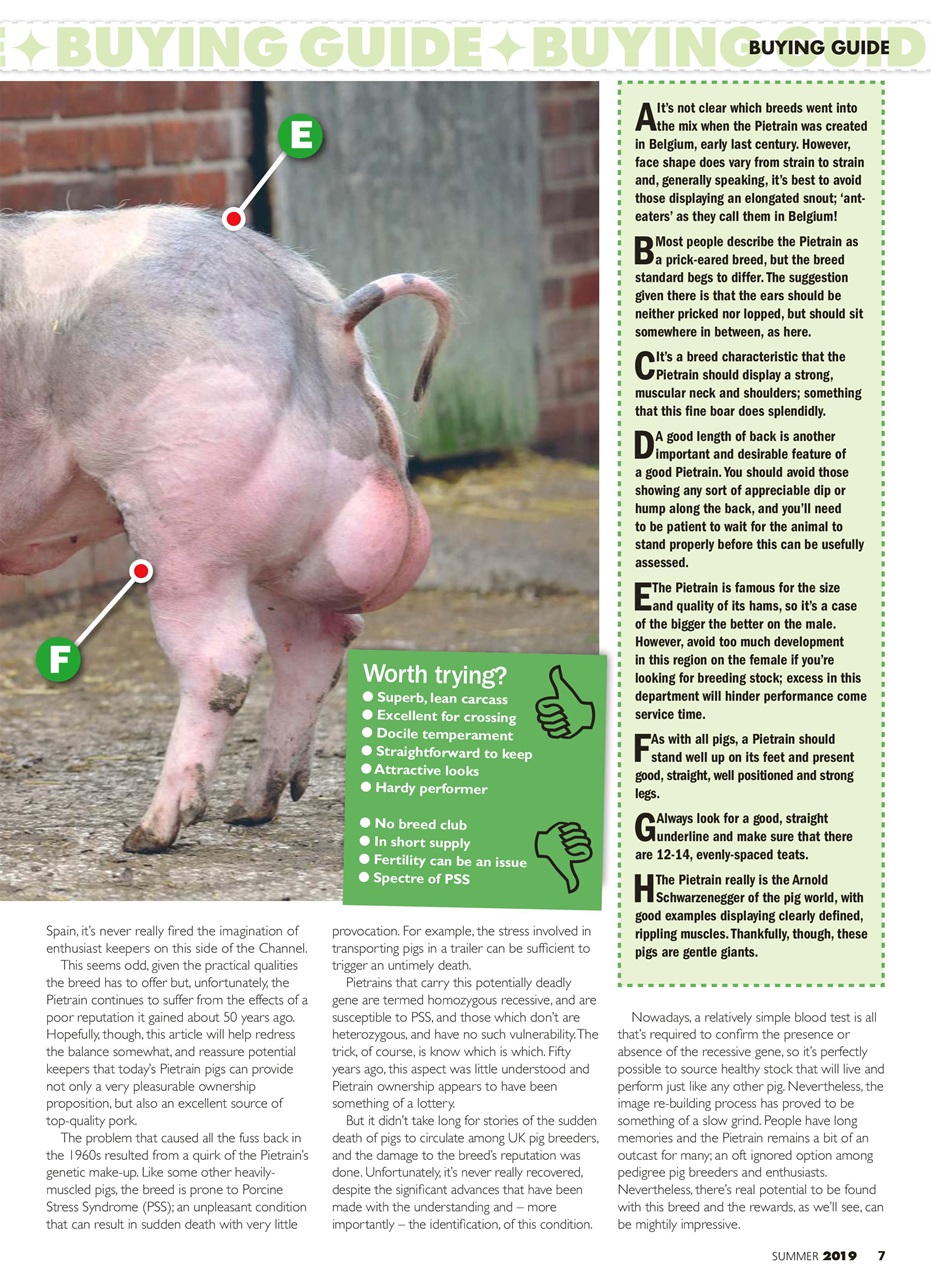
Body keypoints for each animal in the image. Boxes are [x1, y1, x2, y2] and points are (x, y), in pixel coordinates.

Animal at [0, 205, 450, 852]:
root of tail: (324, 317)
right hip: (280, 542)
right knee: (321, 637)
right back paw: (251, 809)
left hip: (186, 516)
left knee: (226, 656)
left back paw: (150, 833)